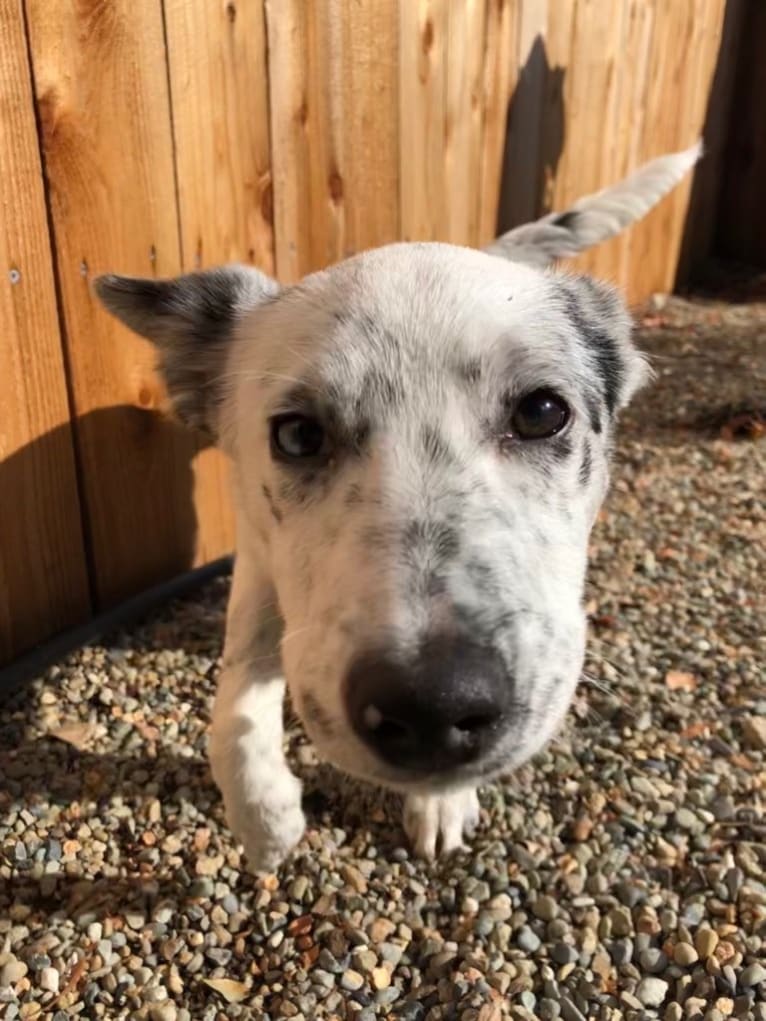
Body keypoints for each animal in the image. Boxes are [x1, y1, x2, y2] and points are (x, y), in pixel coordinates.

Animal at [94, 139, 702, 865]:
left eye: (542, 412)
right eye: (298, 434)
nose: (432, 705)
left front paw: (438, 801)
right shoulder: (258, 567)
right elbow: (235, 701)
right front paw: (265, 820)